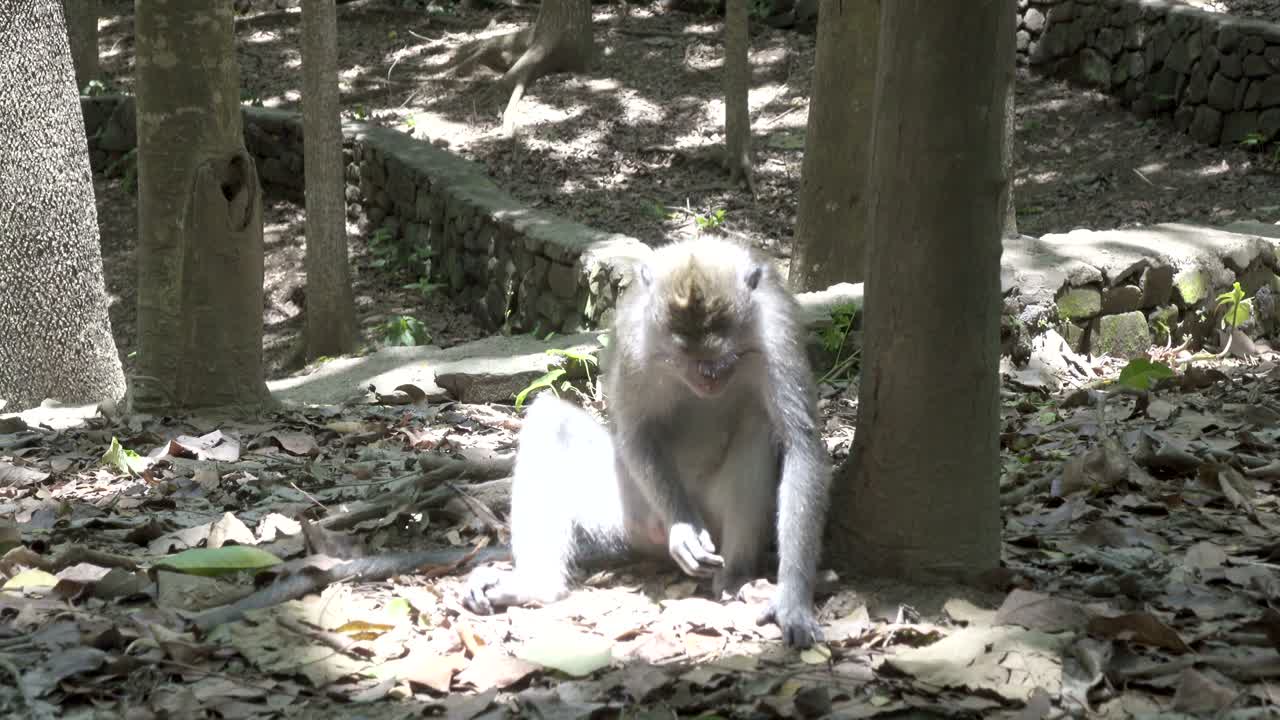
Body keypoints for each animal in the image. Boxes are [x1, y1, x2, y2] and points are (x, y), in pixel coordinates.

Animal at [462, 236, 832, 648]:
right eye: (684, 356)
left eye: (722, 357)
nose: (708, 377)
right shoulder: (632, 338)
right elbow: (635, 432)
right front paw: (684, 528)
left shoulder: (777, 332)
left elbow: (800, 443)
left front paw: (792, 600)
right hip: (631, 512)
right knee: (551, 420)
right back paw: (535, 586)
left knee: (757, 424)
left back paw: (735, 576)